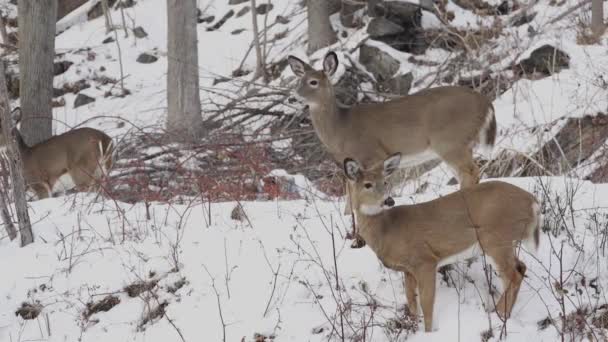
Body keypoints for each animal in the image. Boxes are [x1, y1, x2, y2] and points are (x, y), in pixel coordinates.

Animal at [288, 52, 496, 247]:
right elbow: (350, 198)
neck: (340, 129)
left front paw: (358, 237)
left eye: (313, 82)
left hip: (450, 141)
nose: (292, 97)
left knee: (470, 171)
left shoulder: (372, 154)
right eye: (298, 80)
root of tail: (485, 102)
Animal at [344, 154, 540, 332]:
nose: (388, 200)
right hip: (505, 241)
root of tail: (533, 201)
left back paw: (498, 314)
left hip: (495, 238)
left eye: (385, 182)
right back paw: (504, 315)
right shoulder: (408, 269)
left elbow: (426, 303)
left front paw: (428, 332)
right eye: (367, 184)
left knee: (513, 276)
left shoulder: (424, 260)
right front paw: (413, 326)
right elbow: (411, 301)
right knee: (520, 268)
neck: (386, 230)